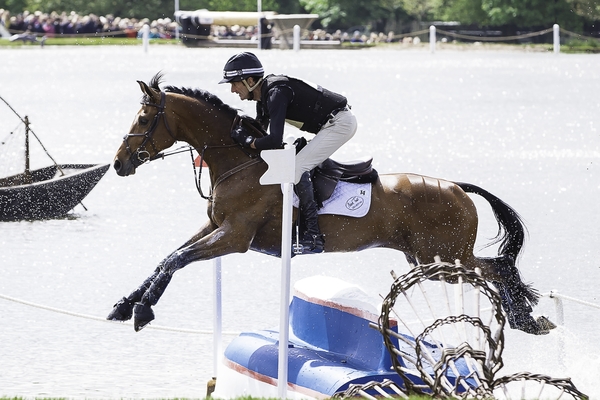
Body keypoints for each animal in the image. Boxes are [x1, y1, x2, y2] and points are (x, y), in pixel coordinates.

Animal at [108, 72, 552, 334]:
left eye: (143, 121)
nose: (118, 163)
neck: (238, 162)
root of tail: (457, 187)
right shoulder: (214, 228)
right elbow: (168, 257)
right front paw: (125, 304)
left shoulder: (233, 237)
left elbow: (176, 260)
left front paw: (143, 311)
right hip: (428, 258)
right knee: (495, 267)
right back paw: (526, 317)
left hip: (441, 258)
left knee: (497, 268)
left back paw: (526, 317)